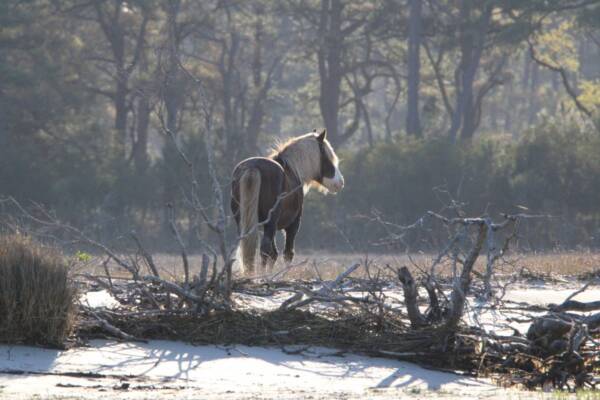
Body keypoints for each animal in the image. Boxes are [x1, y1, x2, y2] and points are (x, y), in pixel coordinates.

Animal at [231, 130, 344, 274]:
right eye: (327, 156)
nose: (340, 183)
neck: (293, 168)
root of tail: (253, 167)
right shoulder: (292, 225)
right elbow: (288, 253)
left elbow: (274, 254)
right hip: (271, 222)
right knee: (264, 249)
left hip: (243, 222)